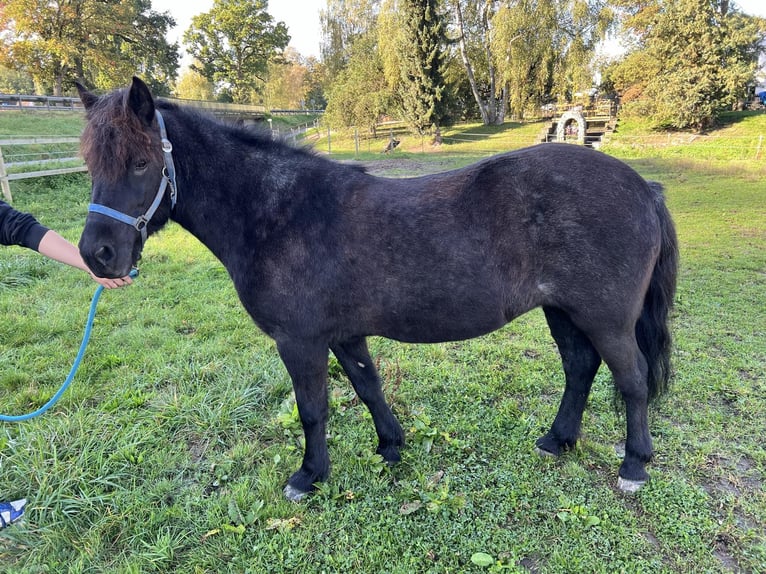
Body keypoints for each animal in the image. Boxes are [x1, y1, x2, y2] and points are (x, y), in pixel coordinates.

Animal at [76, 79, 680, 502]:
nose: (96, 254)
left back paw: (633, 465)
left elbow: (313, 409)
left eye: (140, 161)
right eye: (90, 163)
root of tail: (644, 188)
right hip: (563, 310)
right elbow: (369, 388)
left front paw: (309, 475)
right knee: (580, 368)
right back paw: (557, 440)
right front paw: (391, 445)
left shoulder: (300, 341)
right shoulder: (344, 335)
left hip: (606, 318)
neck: (277, 215)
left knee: (631, 379)